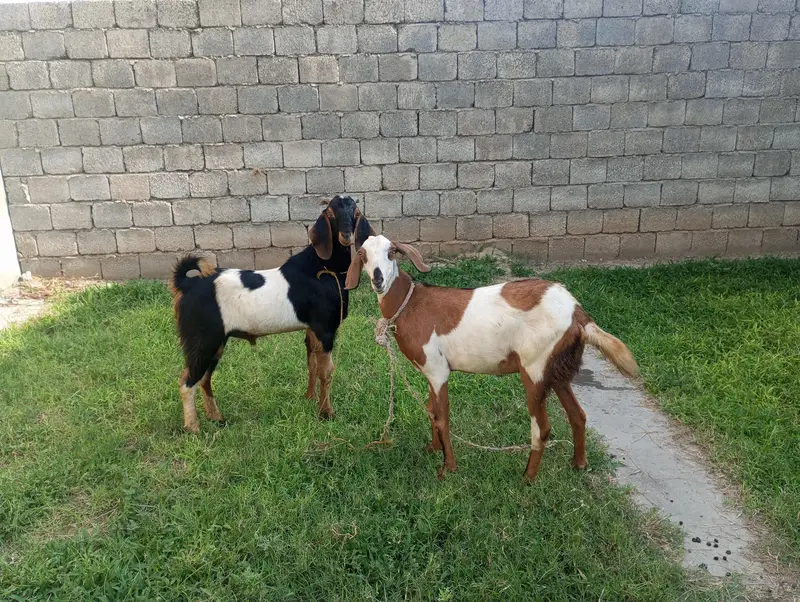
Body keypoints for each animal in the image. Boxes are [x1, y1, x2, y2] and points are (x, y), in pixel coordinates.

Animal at [169, 195, 373, 433]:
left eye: (356, 212)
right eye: (331, 214)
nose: (346, 235)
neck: (323, 270)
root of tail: (186, 285)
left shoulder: (311, 329)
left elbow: (312, 363)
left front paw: (310, 398)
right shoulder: (325, 329)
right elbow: (326, 371)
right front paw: (326, 413)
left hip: (216, 342)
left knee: (204, 378)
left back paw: (216, 417)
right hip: (202, 339)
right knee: (187, 381)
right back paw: (193, 428)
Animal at [345, 235, 639, 481]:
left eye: (391, 252)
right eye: (362, 254)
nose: (378, 280)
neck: (411, 304)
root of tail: (577, 314)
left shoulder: (439, 371)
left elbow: (442, 418)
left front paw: (448, 467)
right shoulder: (431, 371)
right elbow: (430, 410)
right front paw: (432, 448)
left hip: (534, 368)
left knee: (542, 428)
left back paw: (527, 479)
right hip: (557, 371)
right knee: (578, 415)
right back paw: (578, 464)